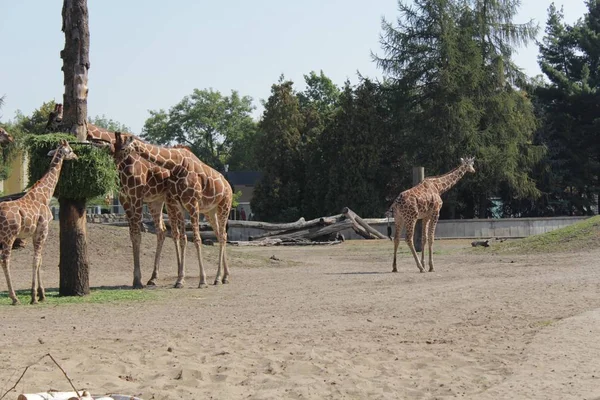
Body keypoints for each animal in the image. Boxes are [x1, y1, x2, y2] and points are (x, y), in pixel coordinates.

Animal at [0, 140, 78, 304]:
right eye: (70, 150)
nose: (76, 157)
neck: (44, 196)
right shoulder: (43, 230)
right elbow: (36, 261)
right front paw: (34, 296)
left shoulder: (35, 234)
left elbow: (40, 260)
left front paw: (41, 294)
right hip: (9, 236)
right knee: (5, 261)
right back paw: (14, 298)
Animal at [45, 104, 186, 290]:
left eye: (58, 119)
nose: (46, 133)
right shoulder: (125, 198)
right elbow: (133, 234)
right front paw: (137, 279)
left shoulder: (136, 196)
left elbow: (137, 233)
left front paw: (137, 280)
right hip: (156, 201)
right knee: (162, 231)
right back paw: (154, 278)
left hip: (172, 201)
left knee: (177, 233)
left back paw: (180, 278)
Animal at [119, 134, 234, 288]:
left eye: (124, 148)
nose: (118, 161)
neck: (177, 165)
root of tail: (228, 185)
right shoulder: (179, 205)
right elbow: (183, 239)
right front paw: (179, 280)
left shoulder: (192, 204)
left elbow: (196, 239)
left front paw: (202, 280)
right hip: (210, 211)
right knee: (221, 235)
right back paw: (223, 277)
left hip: (224, 206)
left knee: (222, 236)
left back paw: (218, 278)